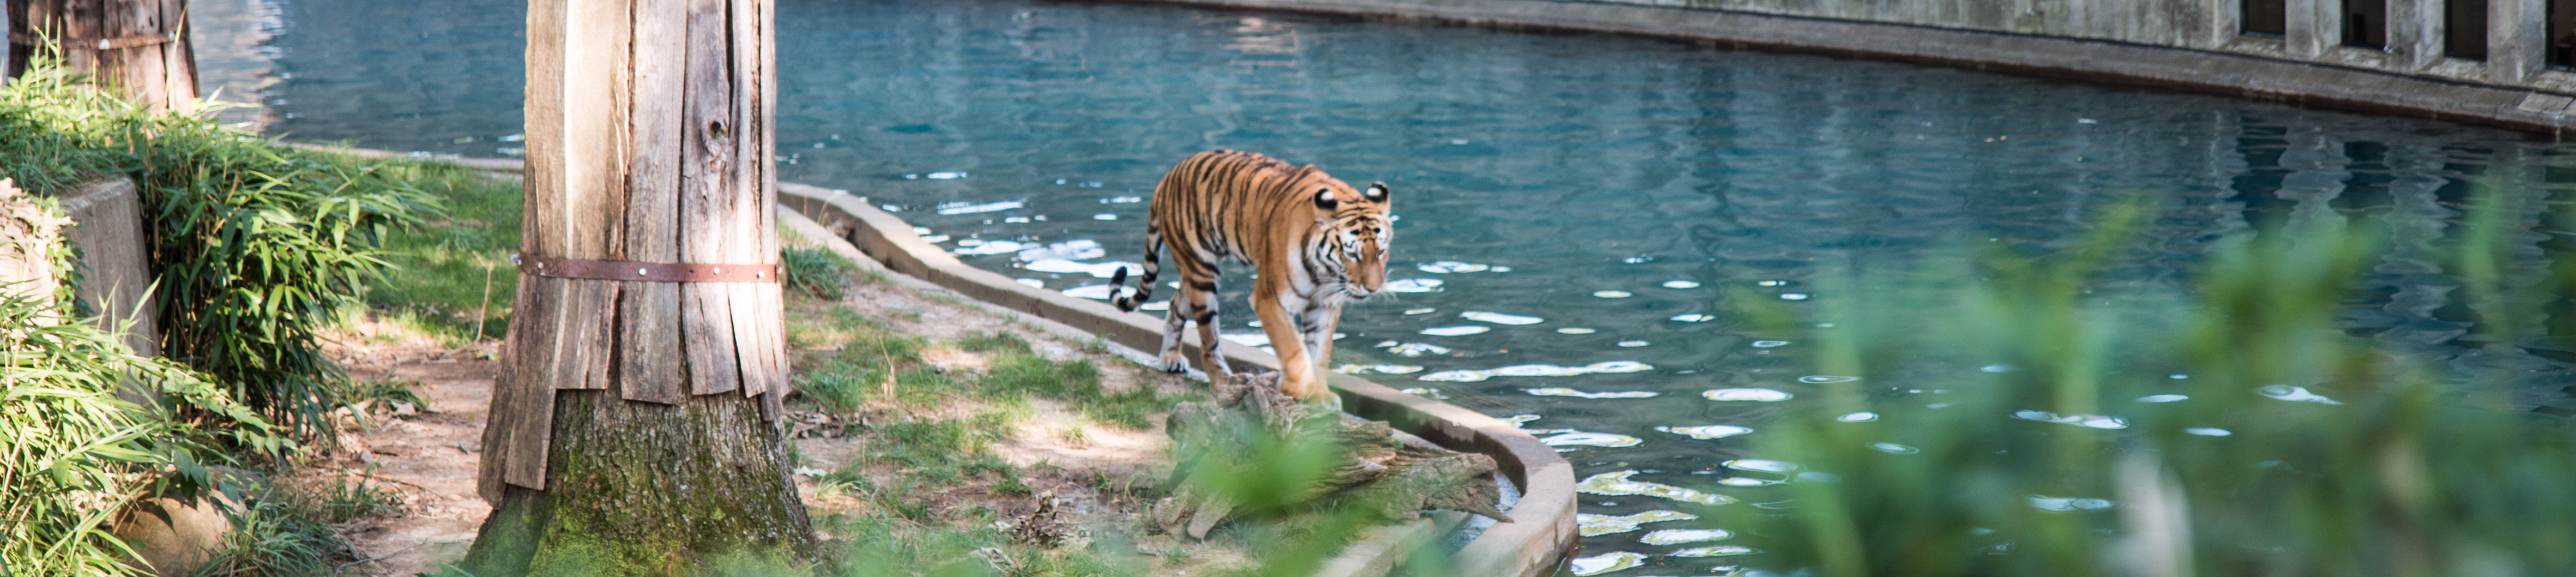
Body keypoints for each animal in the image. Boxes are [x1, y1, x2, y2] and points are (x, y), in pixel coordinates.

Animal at [1102, 148, 1391, 401]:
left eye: (1381, 252)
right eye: (1352, 255)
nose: (1373, 288)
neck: (1326, 271)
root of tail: (1168, 176)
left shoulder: (1325, 304)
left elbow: (1319, 353)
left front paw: (1320, 397)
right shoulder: (1270, 299)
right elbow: (1293, 349)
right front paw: (1297, 389)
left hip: (1193, 273)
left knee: (1175, 305)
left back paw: (1170, 359)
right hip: (1201, 273)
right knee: (1209, 339)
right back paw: (1222, 381)